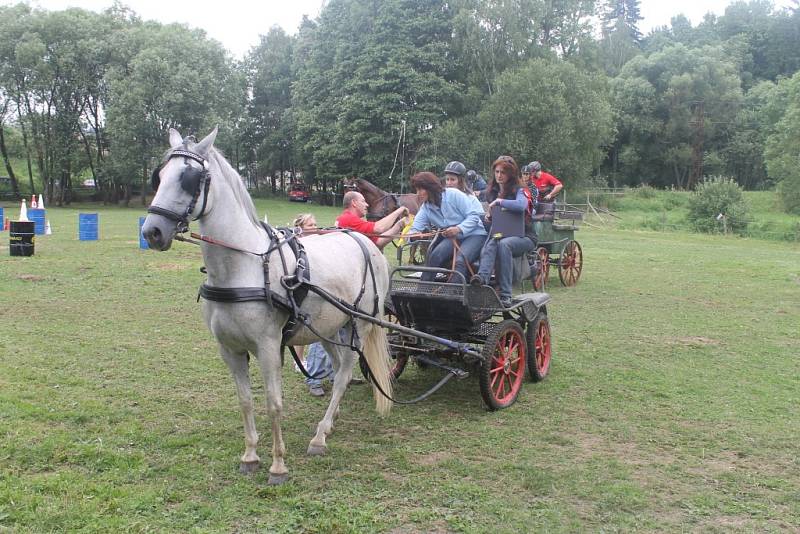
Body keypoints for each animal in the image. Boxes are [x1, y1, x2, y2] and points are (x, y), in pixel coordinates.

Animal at [144, 129, 396, 486]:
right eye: (160, 175)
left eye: (189, 179)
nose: (151, 231)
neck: (243, 266)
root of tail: (366, 242)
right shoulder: (230, 349)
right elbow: (246, 401)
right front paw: (250, 455)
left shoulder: (267, 346)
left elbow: (273, 403)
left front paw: (278, 465)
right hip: (328, 328)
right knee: (339, 369)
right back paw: (328, 425)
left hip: (358, 325)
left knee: (345, 372)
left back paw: (319, 437)